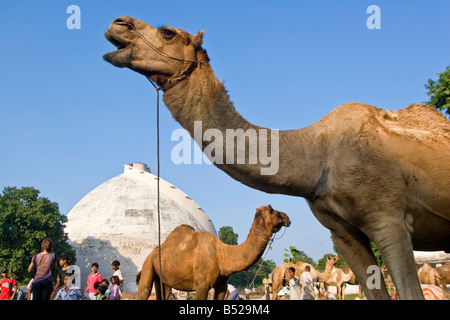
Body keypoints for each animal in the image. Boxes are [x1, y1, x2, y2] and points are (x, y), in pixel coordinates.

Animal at [135, 205, 290, 300]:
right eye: (272, 210)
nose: (287, 217)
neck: (222, 254)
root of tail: (154, 252)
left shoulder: (222, 285)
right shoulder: (202, 285)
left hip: (163, 277)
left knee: (164, 293)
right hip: (148, 264)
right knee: (144, 291)